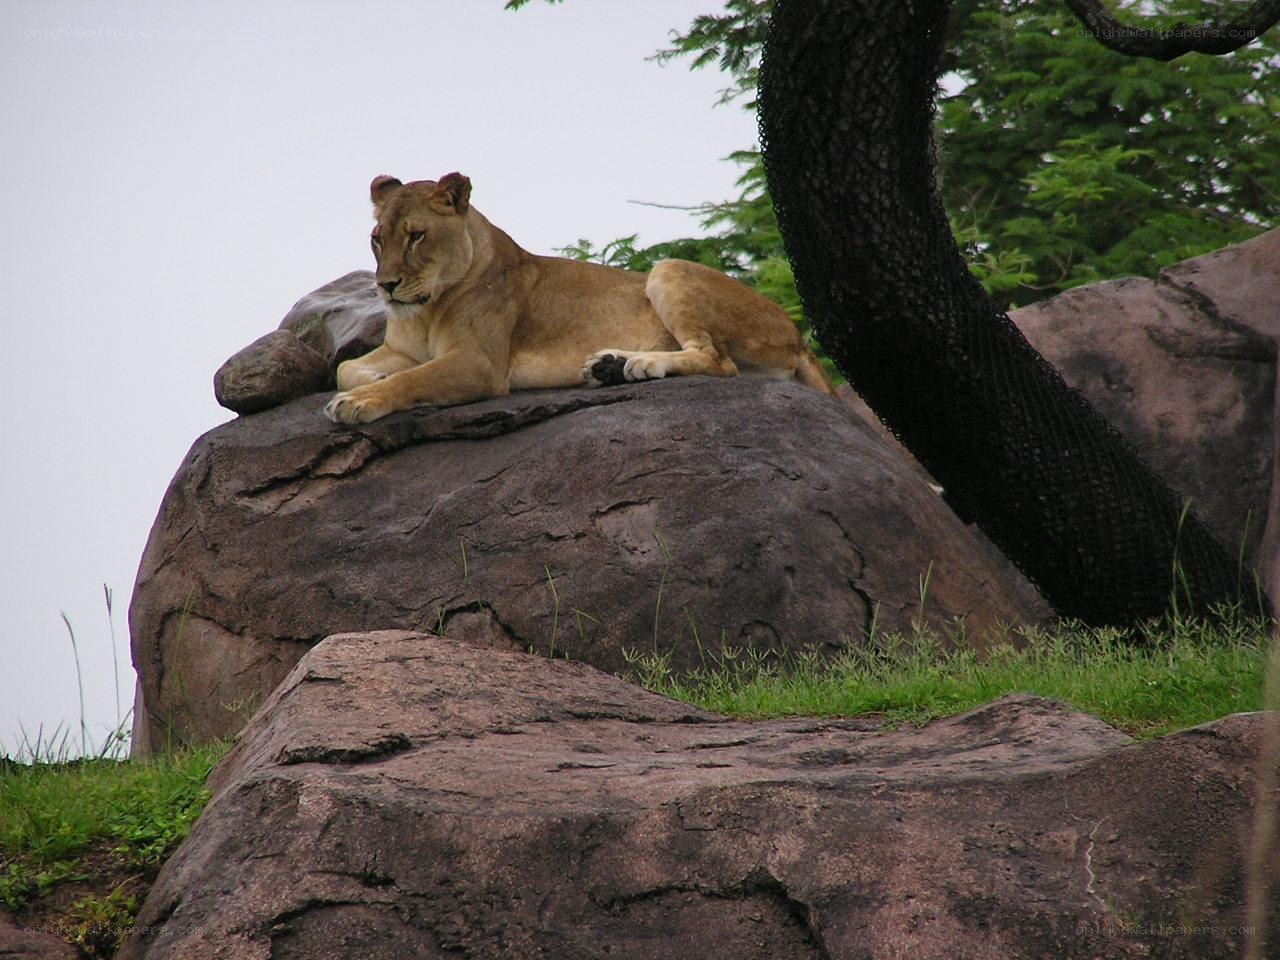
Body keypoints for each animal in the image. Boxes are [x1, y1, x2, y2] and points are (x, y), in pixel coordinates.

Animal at [323, 172, 836, 424]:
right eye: (377, 239)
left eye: (416, 237)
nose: (385, 285)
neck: (425, 312)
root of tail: (798, 335)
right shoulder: (402, 347)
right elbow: (346, 367)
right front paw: (367, 380)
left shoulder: (480, 364)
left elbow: (411, 380)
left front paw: (359, 401)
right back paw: (610, 366)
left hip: (668, 269)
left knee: (719, 361)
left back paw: (639, 364)